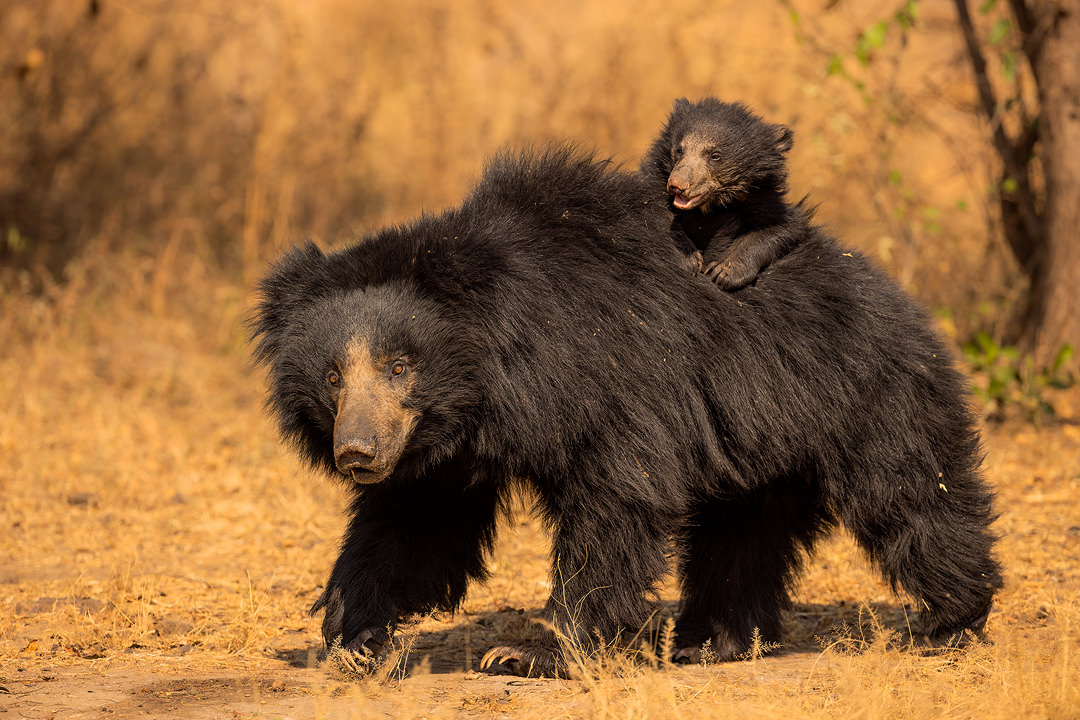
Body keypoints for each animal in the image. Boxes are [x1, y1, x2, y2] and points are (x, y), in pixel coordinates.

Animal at [248, 142, 997, 677]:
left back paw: (947, 621)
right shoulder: (444, 445)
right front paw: (350, 634)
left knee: (911, 498)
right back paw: (713, 642)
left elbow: (615, 502)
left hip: (865, 395)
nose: (358, 453)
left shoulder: (610, 382)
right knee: (744, 532)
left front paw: (529, 654)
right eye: (333, 377)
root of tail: (902, 300)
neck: (497, 375)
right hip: (766, 438)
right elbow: (417, 526)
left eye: (401, 366)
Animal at [643, 97, 807, 291]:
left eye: (715, 156)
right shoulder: (654, 178)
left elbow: (782, 227)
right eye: (679, 150)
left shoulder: (761, 195)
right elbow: (658, 211)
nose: (677, 185)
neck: (711, 205)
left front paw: (723, 271)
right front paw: (690, 259)